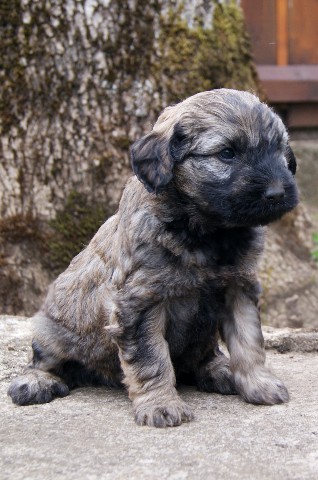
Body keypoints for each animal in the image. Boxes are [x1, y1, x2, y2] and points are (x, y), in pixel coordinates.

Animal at [7, 90, 298, 428]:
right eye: (227, 153)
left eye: (279, 150)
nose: (277, 193)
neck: (204, 231)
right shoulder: (140, 303)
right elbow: (151, 357)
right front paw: (160, 403)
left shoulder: (239, 289)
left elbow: (248, 341)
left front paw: (258, 383)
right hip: (52, 327)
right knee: (44, 359)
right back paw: (36, 381)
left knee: (204, 356)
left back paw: (219, 369)